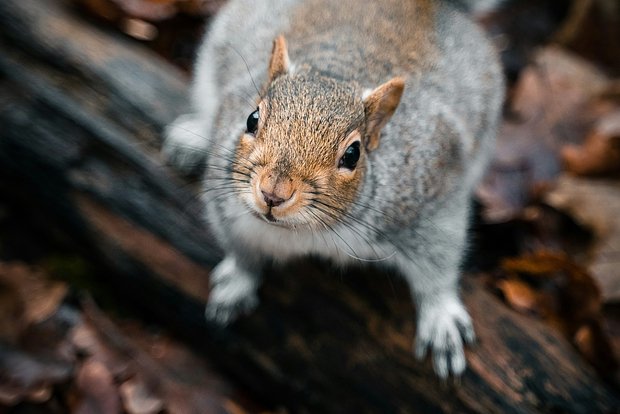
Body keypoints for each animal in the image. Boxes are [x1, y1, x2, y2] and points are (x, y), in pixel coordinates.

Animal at [163, 0, 504, 378]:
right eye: (251, 119)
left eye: (353, 154)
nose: (273, 194)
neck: (305, 231)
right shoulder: (228, 209)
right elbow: (241, 252)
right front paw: (237, 281)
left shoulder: (431, 199)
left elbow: (439, 264)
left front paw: (441, 317)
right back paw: (193, 137)